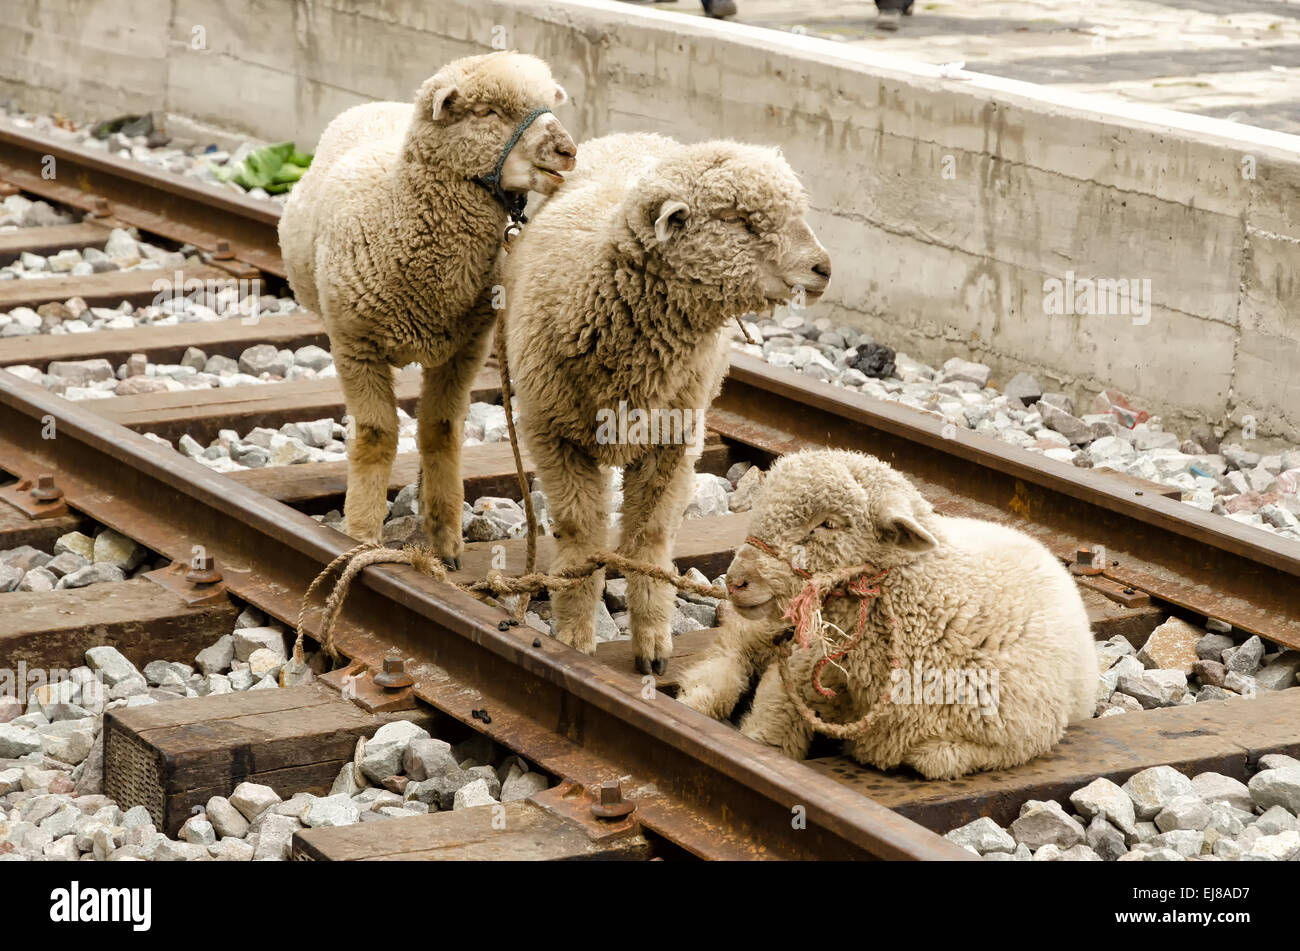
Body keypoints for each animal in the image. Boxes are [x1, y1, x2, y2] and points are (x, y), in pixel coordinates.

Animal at [279, 51, 574, 563]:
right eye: (489, 113)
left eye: (547, 106)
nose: (568, 151)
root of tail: (378, 102)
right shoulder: (355, 344)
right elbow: (376, 435)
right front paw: (361, 535)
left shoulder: (465, 349)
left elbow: (441, 429)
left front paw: (445, 538)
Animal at [501, 131, 826, 675]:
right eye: (741, 220)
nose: (824, 268)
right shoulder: (554, 434)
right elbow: (581, 532)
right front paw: (574, 634)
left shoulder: (672, 443)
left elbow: (649, 538)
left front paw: (653, 642)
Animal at [681, 446, 1097, 779]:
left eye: (827, 524)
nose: (737, 581)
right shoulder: (797, 675)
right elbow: (767, 736)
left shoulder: (1015, 738)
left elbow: (933, 760)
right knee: (734, 645)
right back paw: (701, 696)